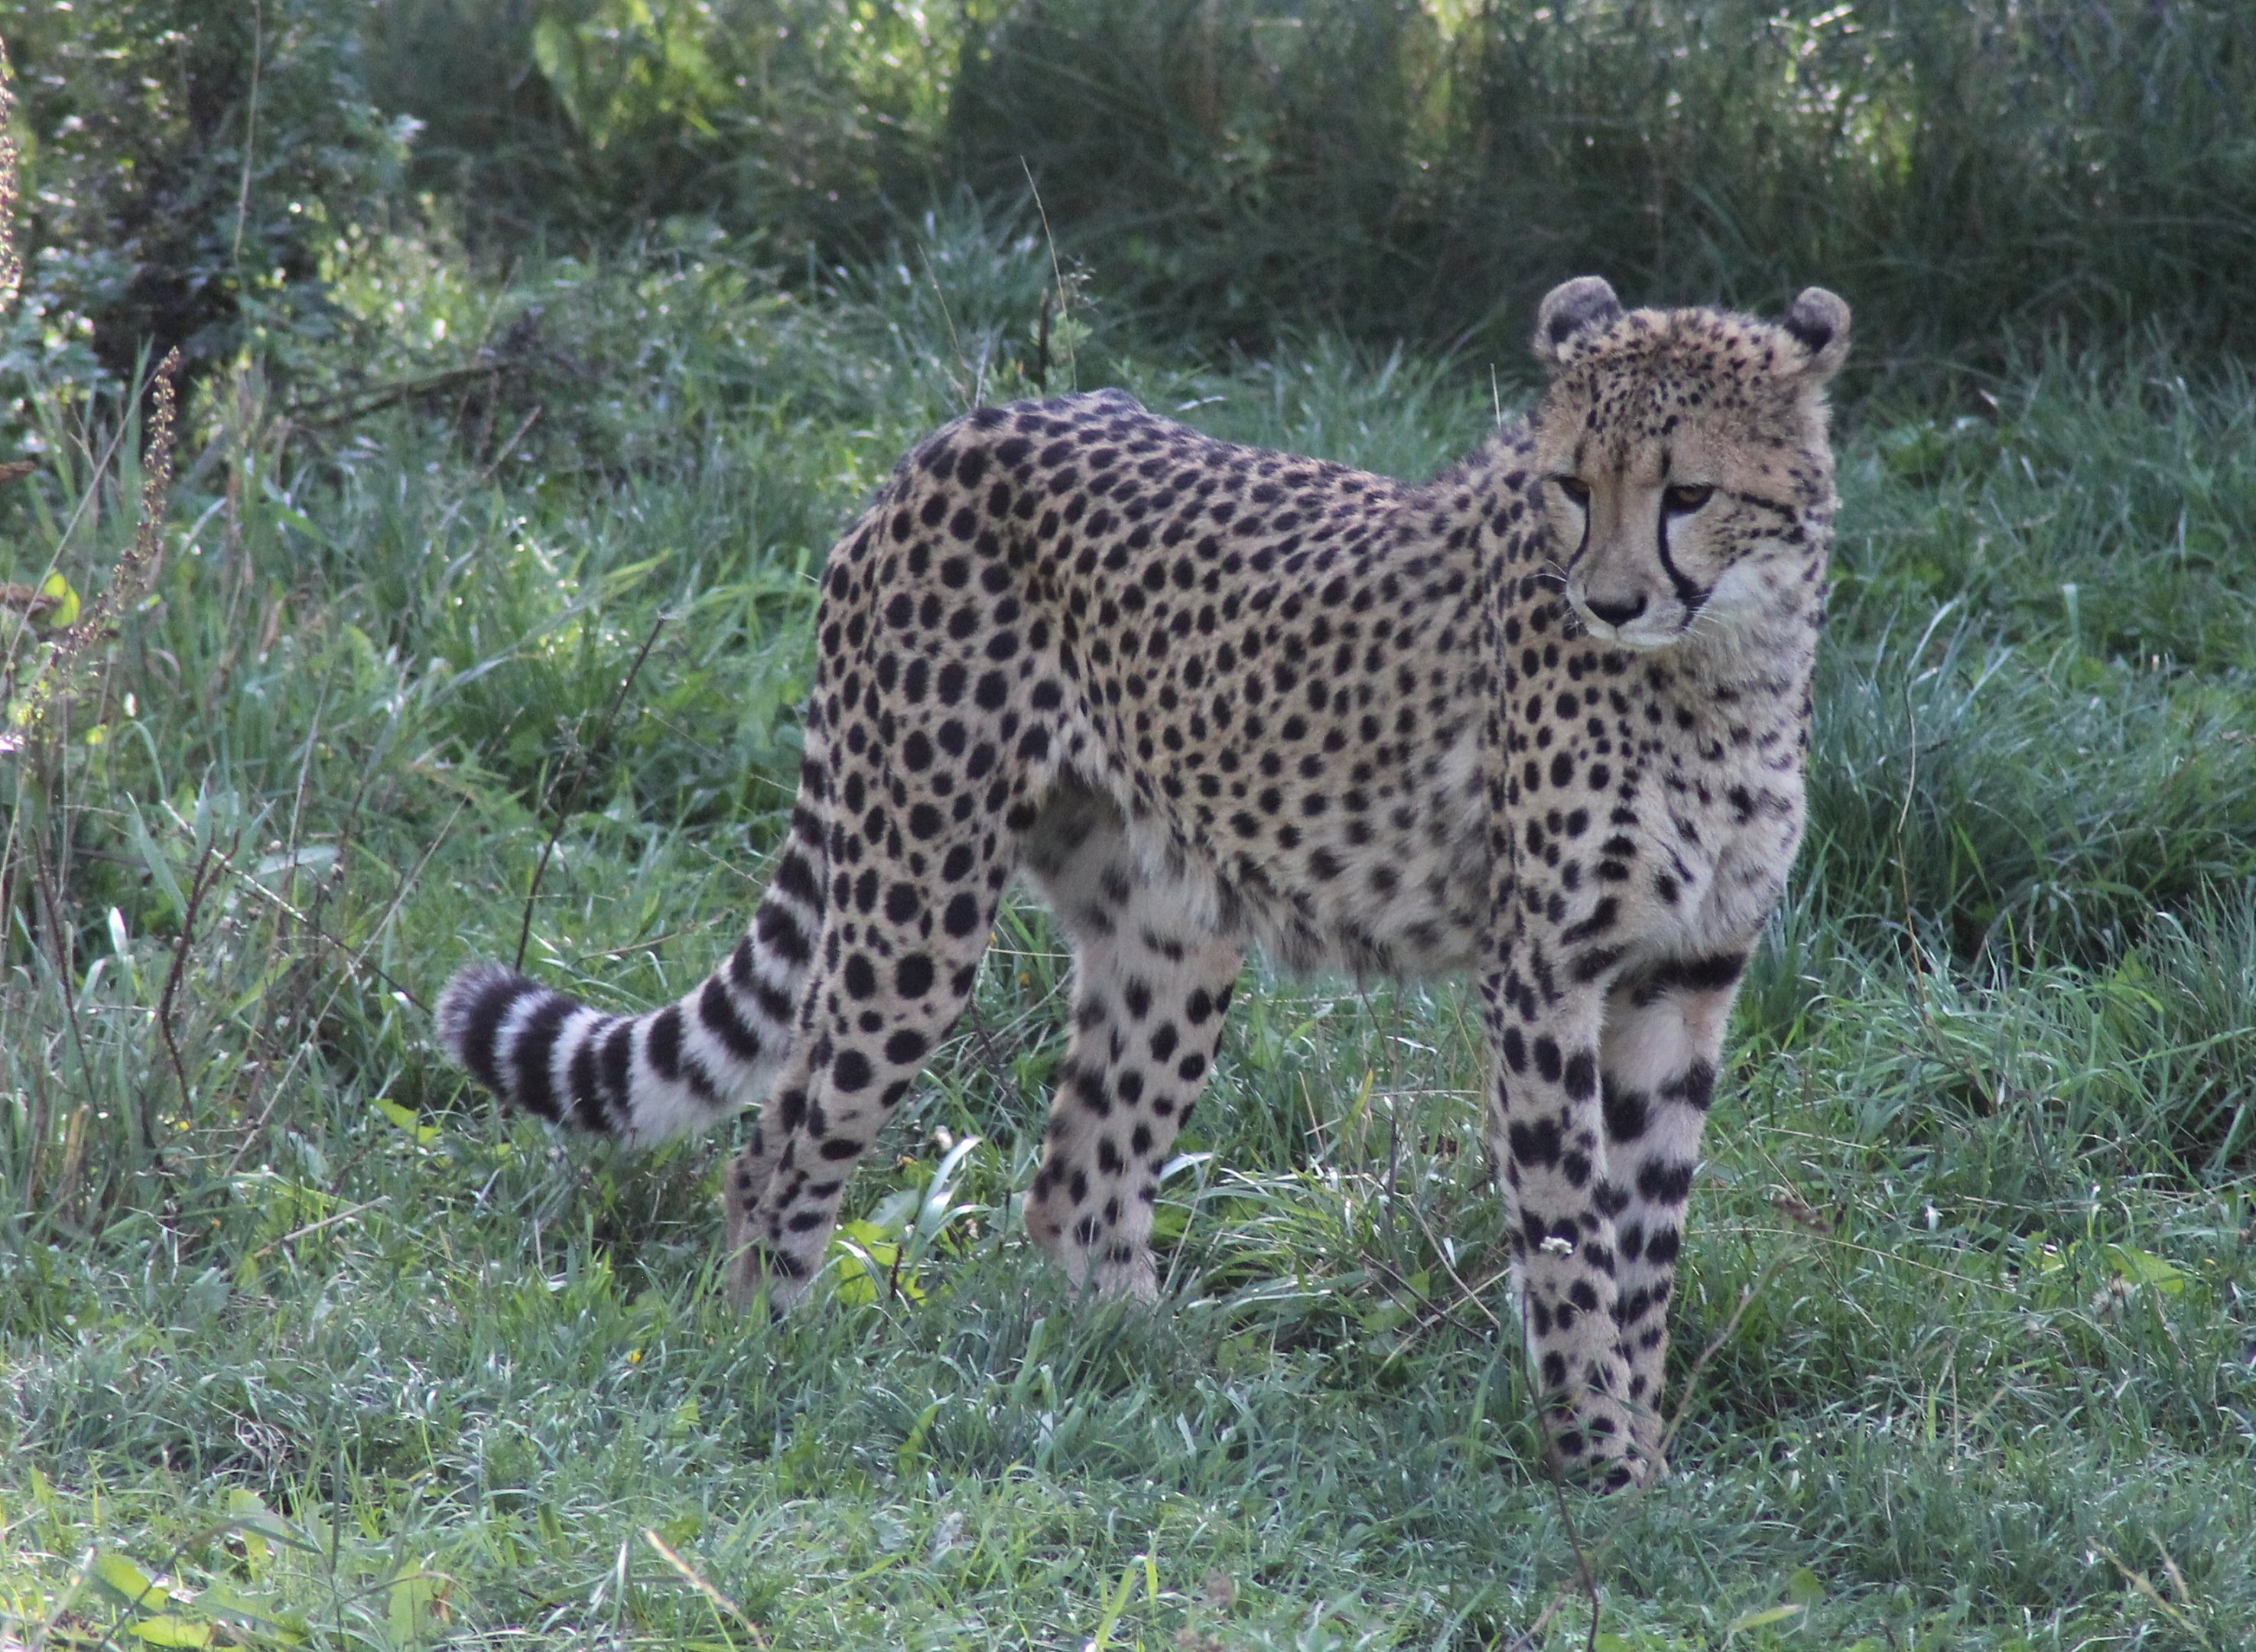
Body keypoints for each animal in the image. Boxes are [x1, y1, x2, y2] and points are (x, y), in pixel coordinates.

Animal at [434, 275, 1851, 1489]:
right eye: (1569, 485)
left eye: (1687, 492)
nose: (1609, 602)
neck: (1720, 668)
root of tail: (965, 429)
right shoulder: (1544, 977)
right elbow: (1571, 1238)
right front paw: (1598, 1469)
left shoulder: (1683, 976)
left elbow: (1647, 1243)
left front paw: (1644, 1463)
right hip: (915, 899)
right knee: (781, 1142)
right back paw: (768, 1355)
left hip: (1172, 930)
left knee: (1079, 1179)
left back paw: (1166, 1382)